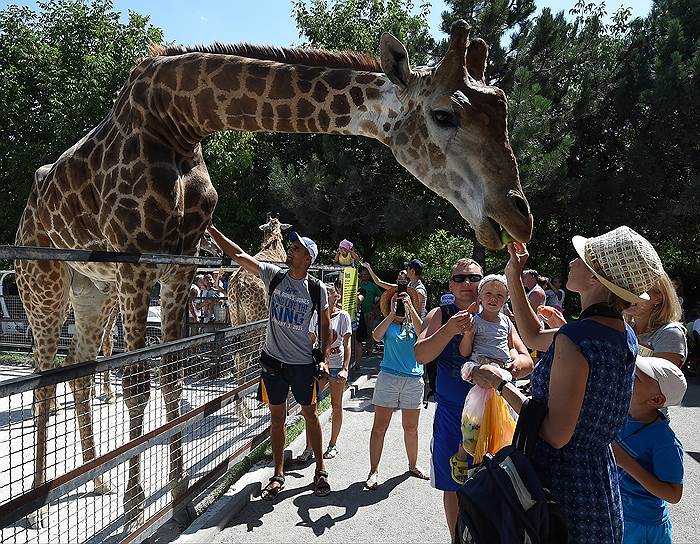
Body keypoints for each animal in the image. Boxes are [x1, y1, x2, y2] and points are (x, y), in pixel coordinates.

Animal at [228, 212, 292, 420]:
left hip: (236, 317)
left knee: (237, 356)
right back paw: (243, 415)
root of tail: (238, 285)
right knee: (244, 356)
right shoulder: (266, 323)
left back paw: (241, 410)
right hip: (253, 318)